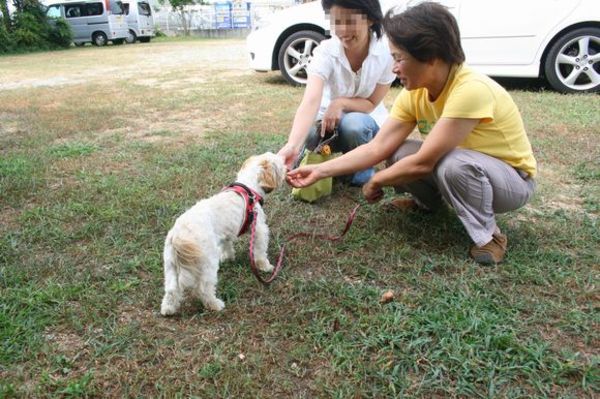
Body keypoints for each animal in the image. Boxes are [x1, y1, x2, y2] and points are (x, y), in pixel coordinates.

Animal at [161, 152, 288, 318]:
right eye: (280, 164)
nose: (287, 168)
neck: (250, 188)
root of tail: (179, 235)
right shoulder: (259, 230)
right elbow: (260, 252)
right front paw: (265, 267)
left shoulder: (226, 233)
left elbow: (227, 245)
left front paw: (228, 257)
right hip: (207, 263)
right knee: (203, 288)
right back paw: (215, 304)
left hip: (170, 265)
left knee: (171, 290)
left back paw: (168, 309)